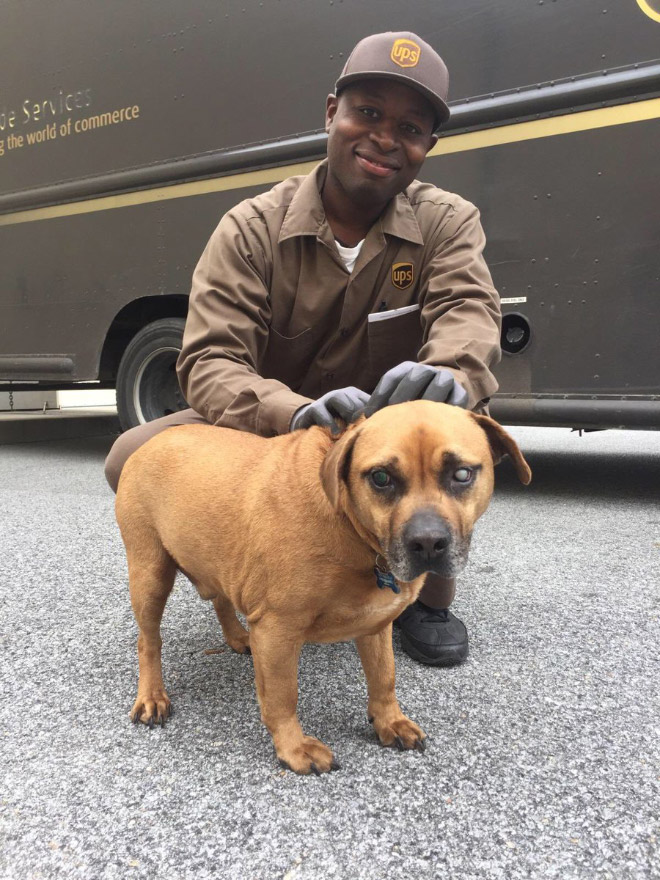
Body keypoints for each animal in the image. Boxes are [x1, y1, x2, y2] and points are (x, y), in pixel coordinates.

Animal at [114, 402, 532, 772]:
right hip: (150, 576)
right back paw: (152, 696)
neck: (351, 526)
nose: (428, 543)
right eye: (381, 477)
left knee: (220, 599)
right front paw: (293, 748)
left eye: (462, 474)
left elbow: (384, 678)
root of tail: (154, 439)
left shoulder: (376, 626)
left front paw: (389, 721)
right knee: (148, 641)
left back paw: (237, 636)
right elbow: (283, 697)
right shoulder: (278, 631)